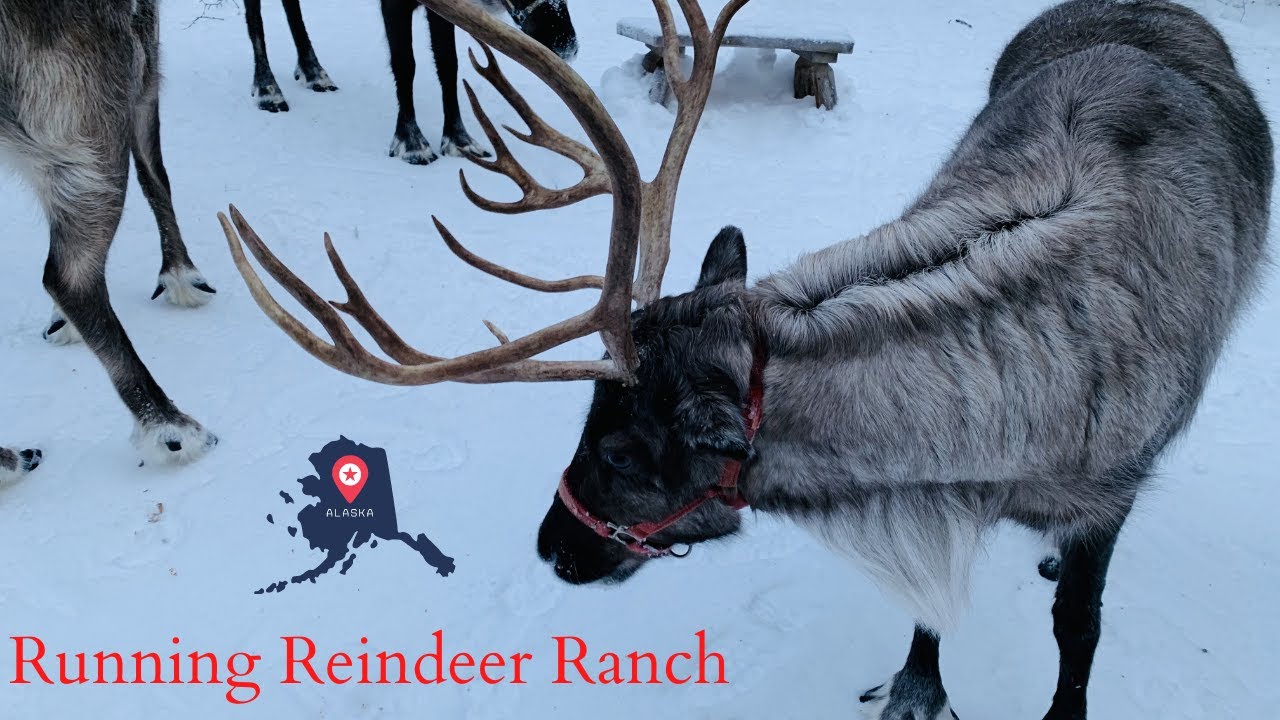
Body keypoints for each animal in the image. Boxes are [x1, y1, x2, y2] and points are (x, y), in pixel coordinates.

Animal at [0, 0, 219, 481]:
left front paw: (60, 323)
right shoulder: (142, 64)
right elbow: (156, 174)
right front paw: (182, 276)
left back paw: (10, 460)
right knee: (69, 276)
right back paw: (170, 427)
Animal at [243, 0, 577, 164]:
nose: (565, 43)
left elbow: (448, 65)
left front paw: (460, 140)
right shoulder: (394, 4)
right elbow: (406, 65)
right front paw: (412, 142)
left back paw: (313, 71)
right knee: (253, 11)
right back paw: (268, 89)